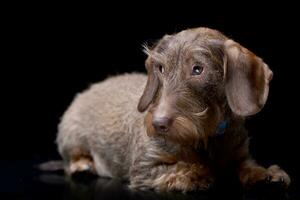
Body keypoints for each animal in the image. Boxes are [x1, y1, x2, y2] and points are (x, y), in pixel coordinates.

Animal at [55, 27, 290, 191]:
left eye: (198, 69)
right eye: (160, 68)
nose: (157, 124)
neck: (206, 136)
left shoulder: (239, 154)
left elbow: (247, 166)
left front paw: (266, 174)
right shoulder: (145, 167)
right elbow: (183, 168)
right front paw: (200, 173)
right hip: (72, 135)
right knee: (71, 160)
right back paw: (82, 166)